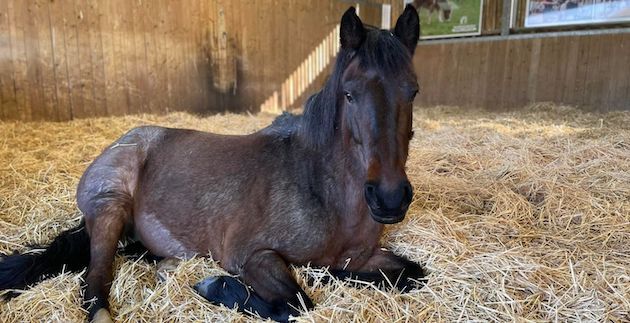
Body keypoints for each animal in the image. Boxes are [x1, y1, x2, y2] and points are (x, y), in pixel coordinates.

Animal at [1, 5, 424, 323]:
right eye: (349, 94)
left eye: (413, 91)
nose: (389, 198)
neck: (322, 191)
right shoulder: (252, 256)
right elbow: (296, 303)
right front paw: (216, 285)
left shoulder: (366, 257)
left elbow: (412, 274)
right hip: (110, 207)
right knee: (95, 284)